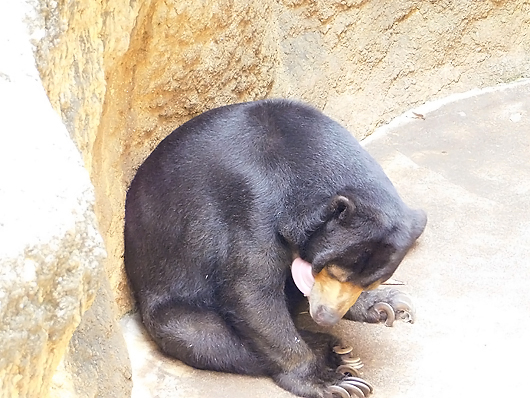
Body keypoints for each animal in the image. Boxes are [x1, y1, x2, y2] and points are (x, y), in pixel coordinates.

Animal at [126, 99, 426, 398]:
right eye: (328, 269)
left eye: (370, 283)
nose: (325, 316)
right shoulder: (251, 207)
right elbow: (251, 290)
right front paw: (328, 382)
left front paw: (388, 304)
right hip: (171, 306)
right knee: (202, 337)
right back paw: (333, 353)